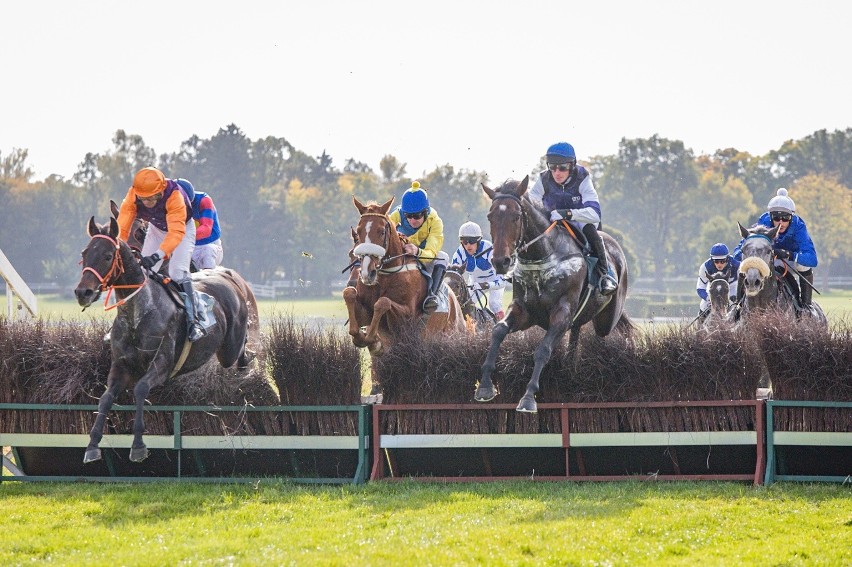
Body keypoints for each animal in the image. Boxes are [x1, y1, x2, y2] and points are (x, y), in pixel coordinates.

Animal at [74, 215, 258, 464]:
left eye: (107, 256)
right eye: (84, 253)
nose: (82, 292)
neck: (139, 312)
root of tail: (229, 278)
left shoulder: (163, 365)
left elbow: (140, 389)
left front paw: (138, 445)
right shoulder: (120, 366)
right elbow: (104, 398)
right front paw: (92, 445)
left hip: (229, 350)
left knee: (241, 355)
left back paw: (249, 362)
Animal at [342, 197, 466, 360]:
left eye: (382, 231)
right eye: (359, 230)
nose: (367, 273)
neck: (386, 275)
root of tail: (455, 302)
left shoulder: (407, 317)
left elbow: (383, 302)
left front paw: (372, 339)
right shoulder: (364, 312)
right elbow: (349, 294)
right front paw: (367, 339)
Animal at [476, 176, 636, 412]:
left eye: (516, 217)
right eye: (490, 217)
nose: (500, 261)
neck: (544, 255)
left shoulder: (562, 314)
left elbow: (543, 350)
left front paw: (528, 397)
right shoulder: (524, 312)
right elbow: (498, 330)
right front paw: (485, 386)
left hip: (607, 318)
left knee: (608, 333)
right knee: (577, 336)